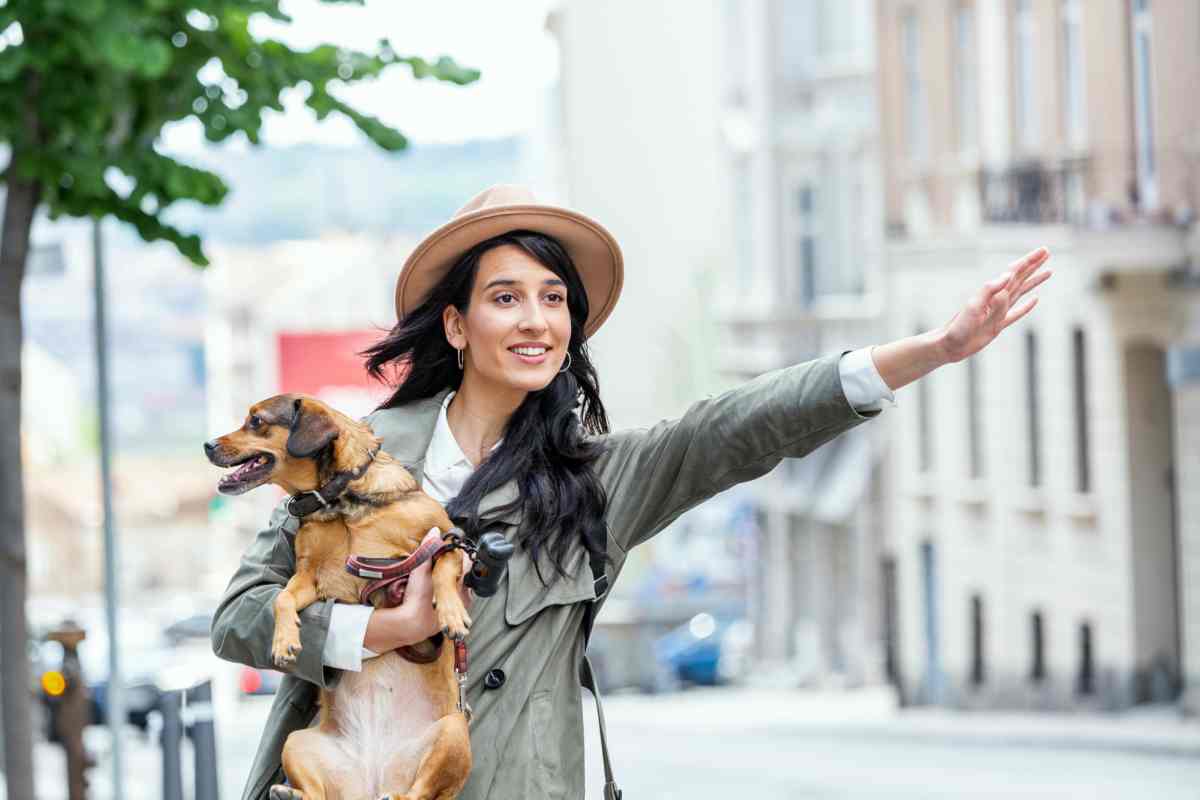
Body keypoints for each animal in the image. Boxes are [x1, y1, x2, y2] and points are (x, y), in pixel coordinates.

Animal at [204, 395, 470, 800]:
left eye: (256, 421)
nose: (207, 445)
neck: (339, 501)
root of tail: (373, 782)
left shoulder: (445, 539)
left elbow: (443, 565)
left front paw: (452, 613)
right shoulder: (309, 576)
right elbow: (282, 599)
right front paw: (284, 641)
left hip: (454, 732)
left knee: (420, 793)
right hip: (297, 742)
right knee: (319, 793)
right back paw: (289, 793)